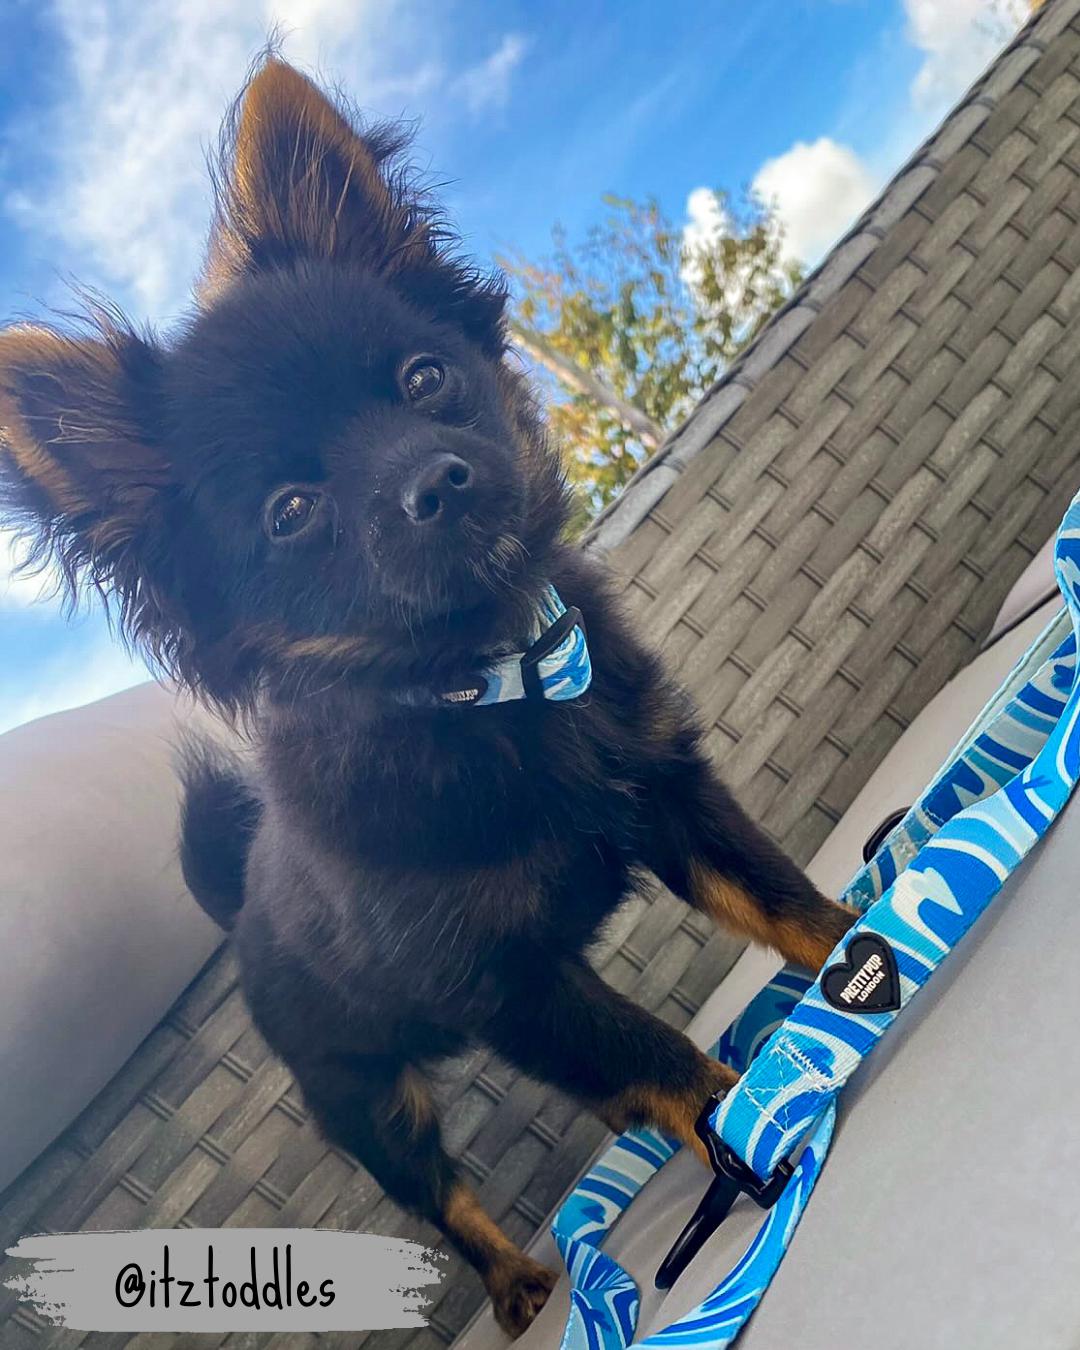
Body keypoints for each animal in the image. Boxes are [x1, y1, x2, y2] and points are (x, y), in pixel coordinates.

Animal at [0, 60, 853, 1328]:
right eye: (290, 513)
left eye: (424, 378)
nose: (437, 482)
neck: (491, 689)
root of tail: (239, 917)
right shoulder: (511, 989)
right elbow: (652, 1059)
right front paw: (741, 1124)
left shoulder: (667, 794)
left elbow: (783, 902)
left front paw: (867, 954)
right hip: (371, 1106)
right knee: (444, 1200)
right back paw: (518, 1281)